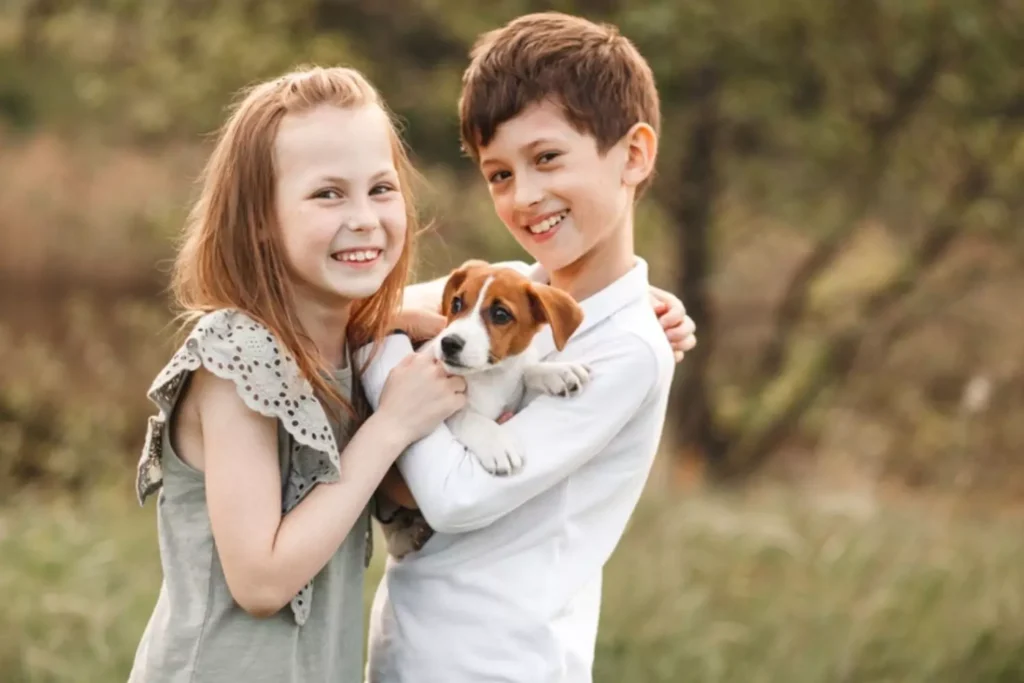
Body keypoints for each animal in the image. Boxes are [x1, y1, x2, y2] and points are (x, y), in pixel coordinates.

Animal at [432, 259, 593, 479]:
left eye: (501, 315)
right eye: (456, 303)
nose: (448, 343)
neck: (490, 377)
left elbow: (527, 369)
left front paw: (557, 371)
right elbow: (468, 416)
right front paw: (497, 444)